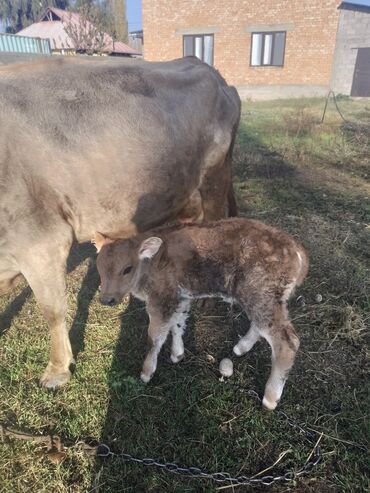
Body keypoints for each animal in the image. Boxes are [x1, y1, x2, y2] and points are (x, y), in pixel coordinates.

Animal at [94, 217, 308, 410]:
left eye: (127, 269)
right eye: (99, 268)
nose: (107, 299)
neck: (150, 264)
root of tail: (297, 251)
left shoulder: (160, 300)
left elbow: (154, 337)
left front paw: (146, 373)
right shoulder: (181, 297)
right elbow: (178, 323)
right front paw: (177, 354)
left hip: (261, 294)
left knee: (287, 341)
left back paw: (270, 399)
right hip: (264, 299)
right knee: (263, 325)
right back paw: (240, 348)